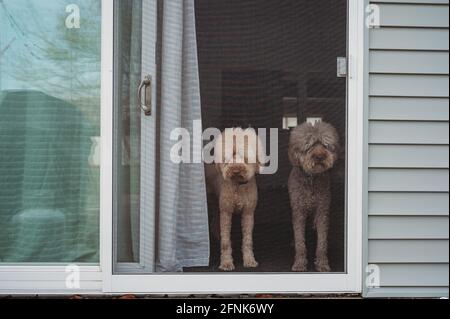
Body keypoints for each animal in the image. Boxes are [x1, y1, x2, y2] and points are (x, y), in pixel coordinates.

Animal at [207, 128, 266, 272]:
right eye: (229, 156)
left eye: (245, 157)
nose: (236, 170)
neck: (238, 185)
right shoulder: (226, 212)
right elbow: (225, 241)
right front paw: (226, 262)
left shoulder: (248, 213)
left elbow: (247, 240)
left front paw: (249, 260)